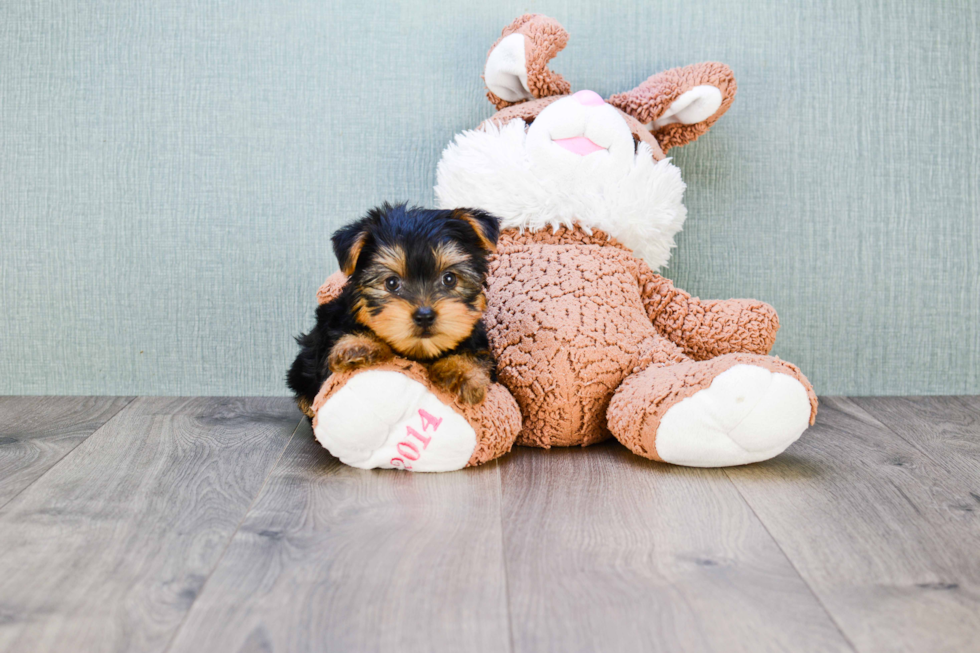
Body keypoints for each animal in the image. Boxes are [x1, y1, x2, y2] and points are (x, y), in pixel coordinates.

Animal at [284, 204, 498, 418]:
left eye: (449, 279)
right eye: (392, 282)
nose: (424, 316)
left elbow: (475, 353)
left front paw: (463, 371)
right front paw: (359, 345)